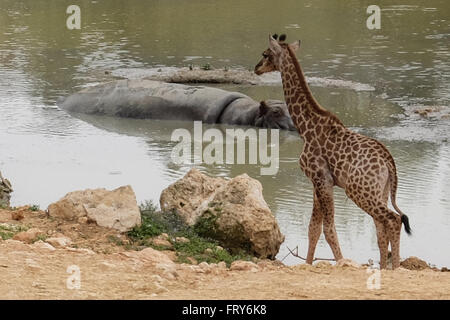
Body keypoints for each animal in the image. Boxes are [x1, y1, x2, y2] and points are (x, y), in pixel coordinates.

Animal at [253, 34, 412, 270]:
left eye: (266, 54)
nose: (256, 68)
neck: (305, 126)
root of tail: (389, 163)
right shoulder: (316, 182)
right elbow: (313, 229)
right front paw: (309, 265)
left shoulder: (322, 179)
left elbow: (328, 229)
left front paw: (342, 263)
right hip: (380, 192)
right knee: (381, 228)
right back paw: (385, 268)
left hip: (359, 191)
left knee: (393, 219)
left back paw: (395, 268)